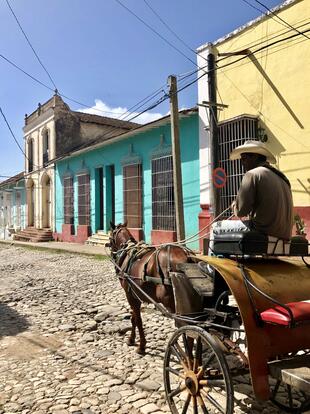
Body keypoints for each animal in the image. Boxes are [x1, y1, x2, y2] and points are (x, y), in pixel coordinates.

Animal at [108, 222, 193, 354]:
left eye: (110, 238)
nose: (112, 254)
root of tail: (186, 256)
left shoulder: (130, 296)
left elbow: (138, 320)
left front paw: (141, 346)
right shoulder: (135, 295)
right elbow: (133, 318)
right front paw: (131, 339)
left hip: (171, 302)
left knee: (187, 327)